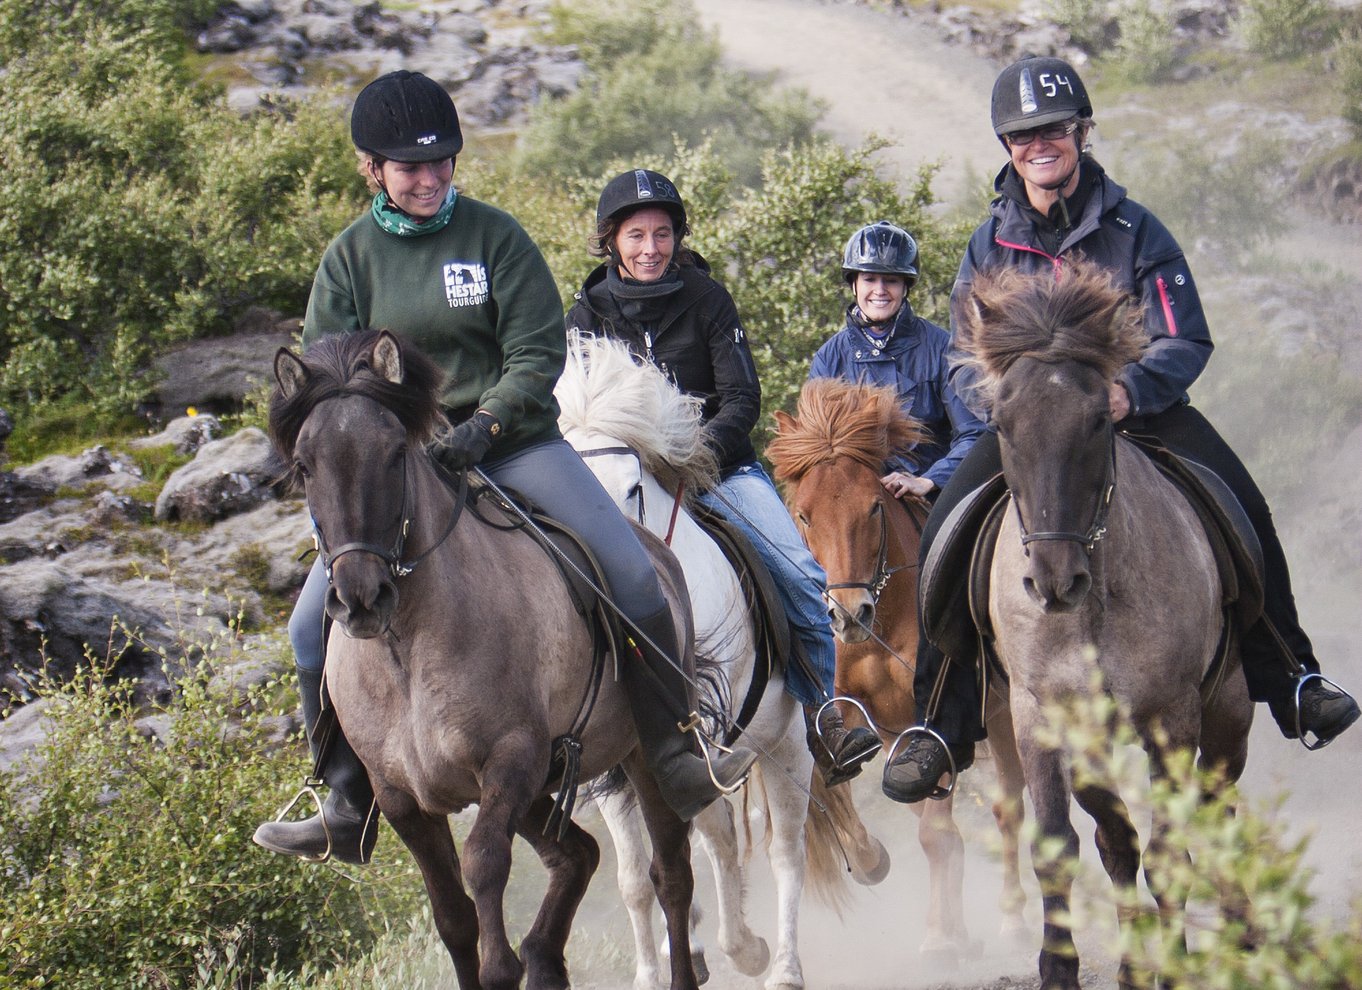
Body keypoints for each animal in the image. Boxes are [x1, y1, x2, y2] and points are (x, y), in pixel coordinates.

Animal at [272, 333, 708, 990]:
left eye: (395, 453)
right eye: (304, 465)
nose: (360, 598)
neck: (406, 652)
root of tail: (657, 552)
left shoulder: (509, 763)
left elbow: (483, 872)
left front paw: (506, 964)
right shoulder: (402, 800)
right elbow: (453, 916)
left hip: (637, 758)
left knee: (671, 873)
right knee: (578, 856)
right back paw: (546, 958)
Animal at [558, 334, 888, 990]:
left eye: (633, 488)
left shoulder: (706, 746)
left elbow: (709, 851)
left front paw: (738, 950)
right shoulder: (621, 773)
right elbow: (636, 880)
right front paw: (654, 970)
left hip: (785, 742)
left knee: (782, 850)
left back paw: (778, 963)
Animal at [773, 375, 1024, 964]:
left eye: (873, 508)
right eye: (805, 514)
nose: (848, 614)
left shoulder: (929, 721)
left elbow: (937, 832)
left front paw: (941, 938)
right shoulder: (876, 726)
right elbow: (926, 827)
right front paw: (937, 924)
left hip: (1002, 717)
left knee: (1010, 809)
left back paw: (1012, 922)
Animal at [958, 262, 1253, 990]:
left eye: (1098, 419)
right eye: (1002, 422)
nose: (1053, 581)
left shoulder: (1172, 719)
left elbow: (1168, 852)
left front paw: (1169, 965)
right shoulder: (1044, 716)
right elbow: (1080, 841)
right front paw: (1066, 966)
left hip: (1229, 715)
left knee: (1220, 816)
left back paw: (1243, 936)